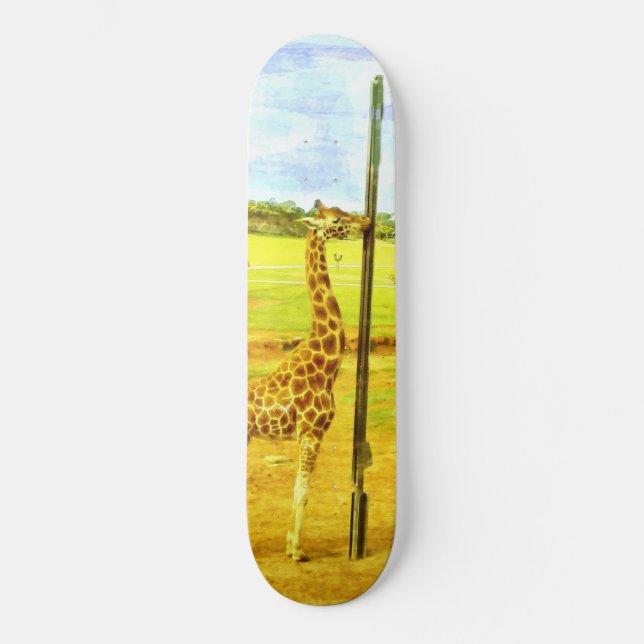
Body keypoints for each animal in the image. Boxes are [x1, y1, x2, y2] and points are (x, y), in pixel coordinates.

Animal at [247, 199, 370, 561]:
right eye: (336, 220)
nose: (367, 221)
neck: (325, 361)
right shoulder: (311, 433)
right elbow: (303, 489)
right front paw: (296, 550)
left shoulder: (307, 436)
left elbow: (298, 489)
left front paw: (291, 544)